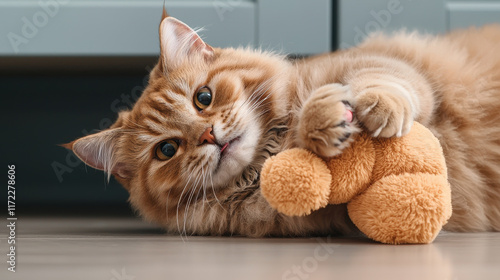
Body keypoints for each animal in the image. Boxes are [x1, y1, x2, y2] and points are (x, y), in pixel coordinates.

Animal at [65, 13, 500, 236]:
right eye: (167, 150)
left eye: (203, 98)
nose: (208, 136)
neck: (273, 147)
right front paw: (322, 130)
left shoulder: (389, 64)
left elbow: (374, 80)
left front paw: (352, 112)